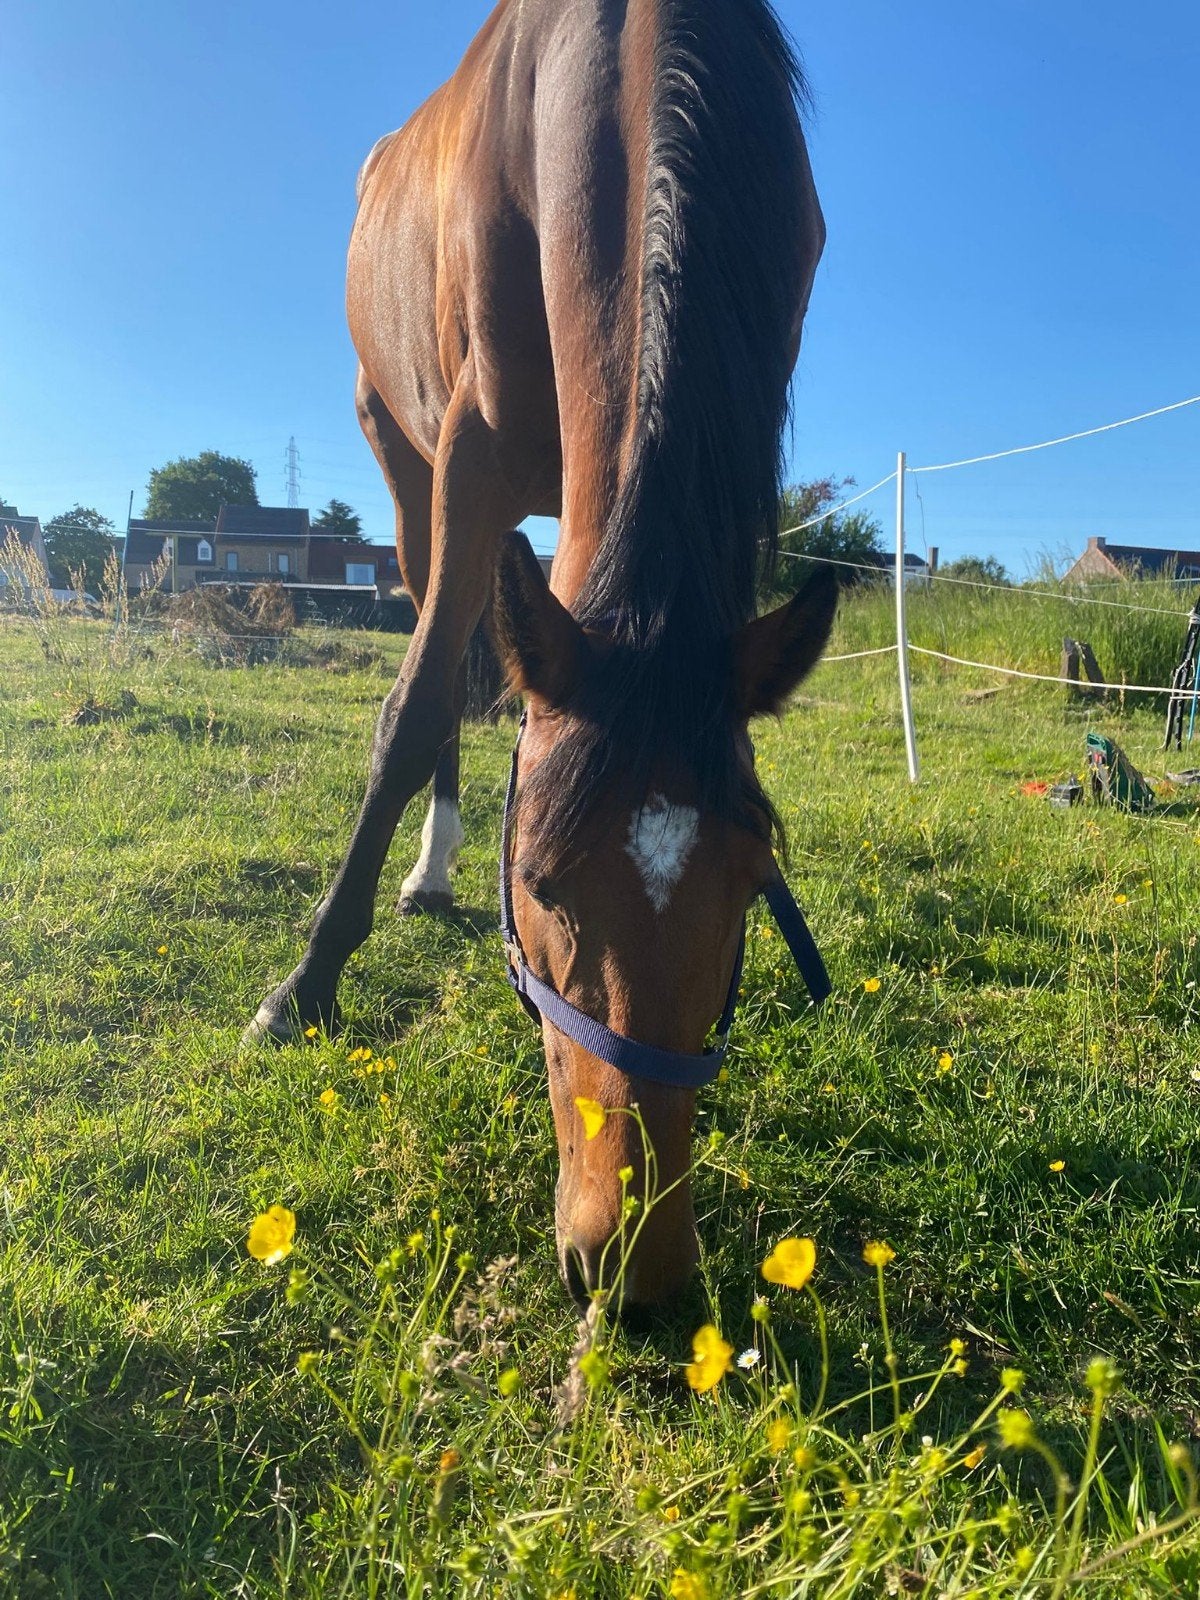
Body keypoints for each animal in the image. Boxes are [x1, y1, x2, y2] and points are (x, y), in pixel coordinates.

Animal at [246, 0, 837, 1309]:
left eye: (750, 886)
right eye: (545, 885)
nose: (636, 1267)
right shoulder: (468, 462)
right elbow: (417, 709)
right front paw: (306, 985)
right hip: (406, 468)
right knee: (440, 674)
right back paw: (423, 871)